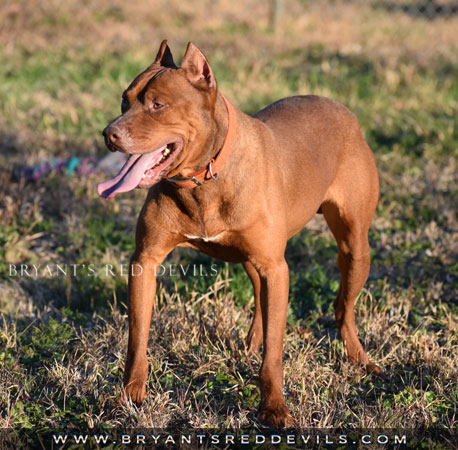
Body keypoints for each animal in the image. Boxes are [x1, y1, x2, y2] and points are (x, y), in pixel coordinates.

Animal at [98, 40, 382, 428]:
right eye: (124, 102)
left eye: (158, 105)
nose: (109, 134)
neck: (203, 179)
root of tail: (342, 109)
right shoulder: (145, 261)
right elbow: (137, 337)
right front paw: (129, 396)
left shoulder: (277, 268)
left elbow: (275, 352)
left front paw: (274, 408)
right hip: (254, 261)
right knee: (263, 301)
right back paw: (250, 345)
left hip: (354, 249)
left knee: (343, 307)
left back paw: (359, 359)